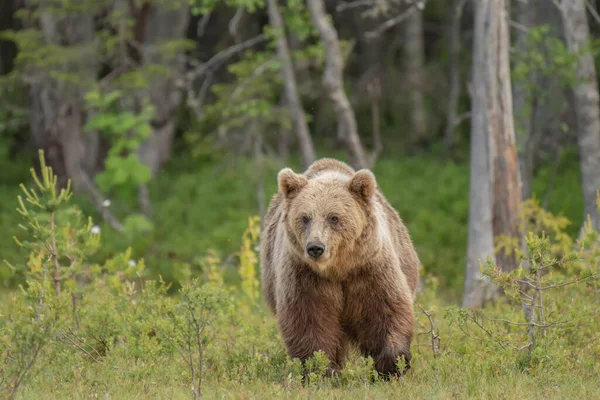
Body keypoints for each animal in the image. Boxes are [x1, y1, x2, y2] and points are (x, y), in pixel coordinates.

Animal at [258, 157, 422, 378]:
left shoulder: (370, 269)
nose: (315, 247)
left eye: (334, 217)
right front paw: (320, 369)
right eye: (305, 217)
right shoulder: (305, 276)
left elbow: (385, 310)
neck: (339, 268)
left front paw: (391, 365)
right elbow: (309, 321)